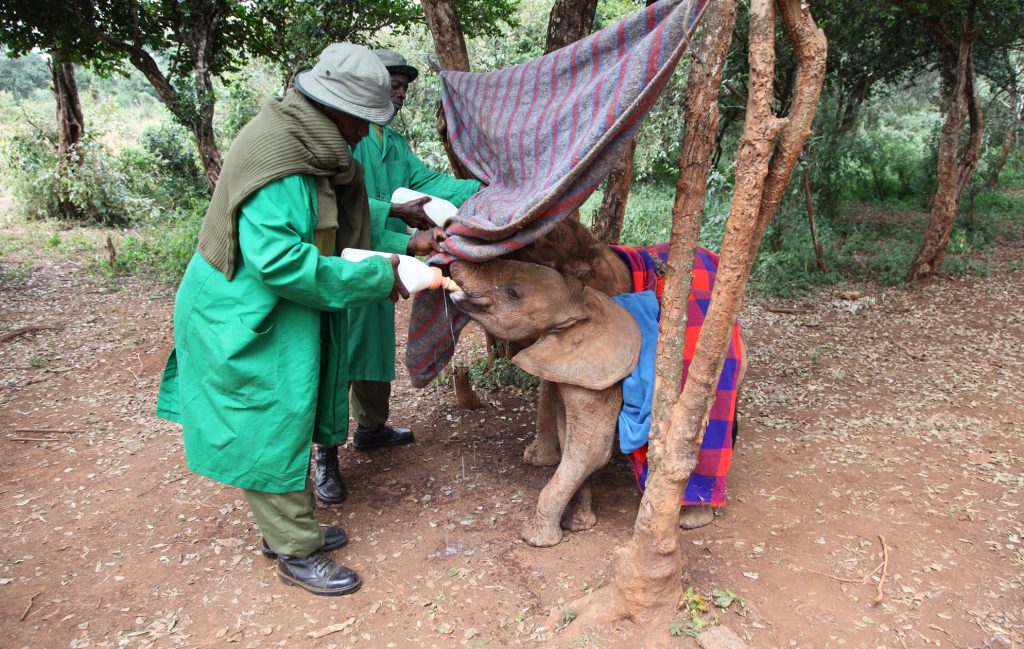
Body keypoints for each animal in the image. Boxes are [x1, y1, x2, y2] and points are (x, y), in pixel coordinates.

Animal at [450, 257, 638, 544]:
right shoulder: (567, 367)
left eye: (513, 293)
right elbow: (568, 436)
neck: (581, 301)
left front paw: (534, 539)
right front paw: (578, 524)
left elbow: (592, 450)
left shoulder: (601, 376)